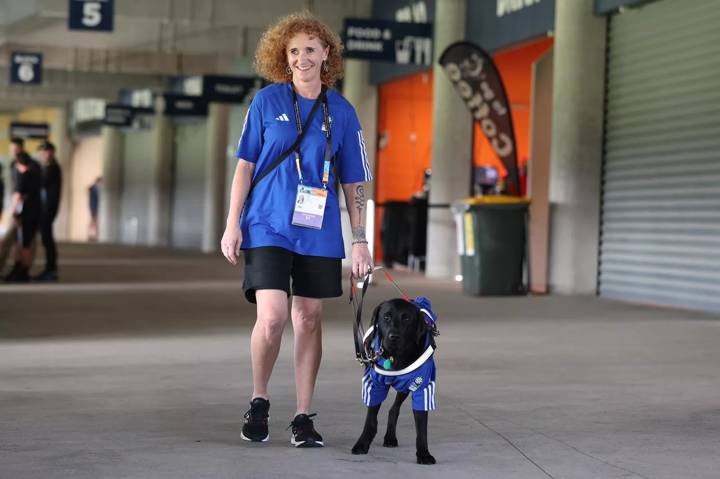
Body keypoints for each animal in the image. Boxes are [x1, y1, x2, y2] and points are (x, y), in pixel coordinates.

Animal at [352, 300, 436, 464]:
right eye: (386, 317)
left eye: (407, 319)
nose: (393, 337)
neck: (396, 356)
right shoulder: (375, 386)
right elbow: (370, 420)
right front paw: (362, 444)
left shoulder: (422, 388)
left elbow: (421, 428)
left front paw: (423, 453)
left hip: (405, 387)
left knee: (394, 409)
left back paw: (390, 437)